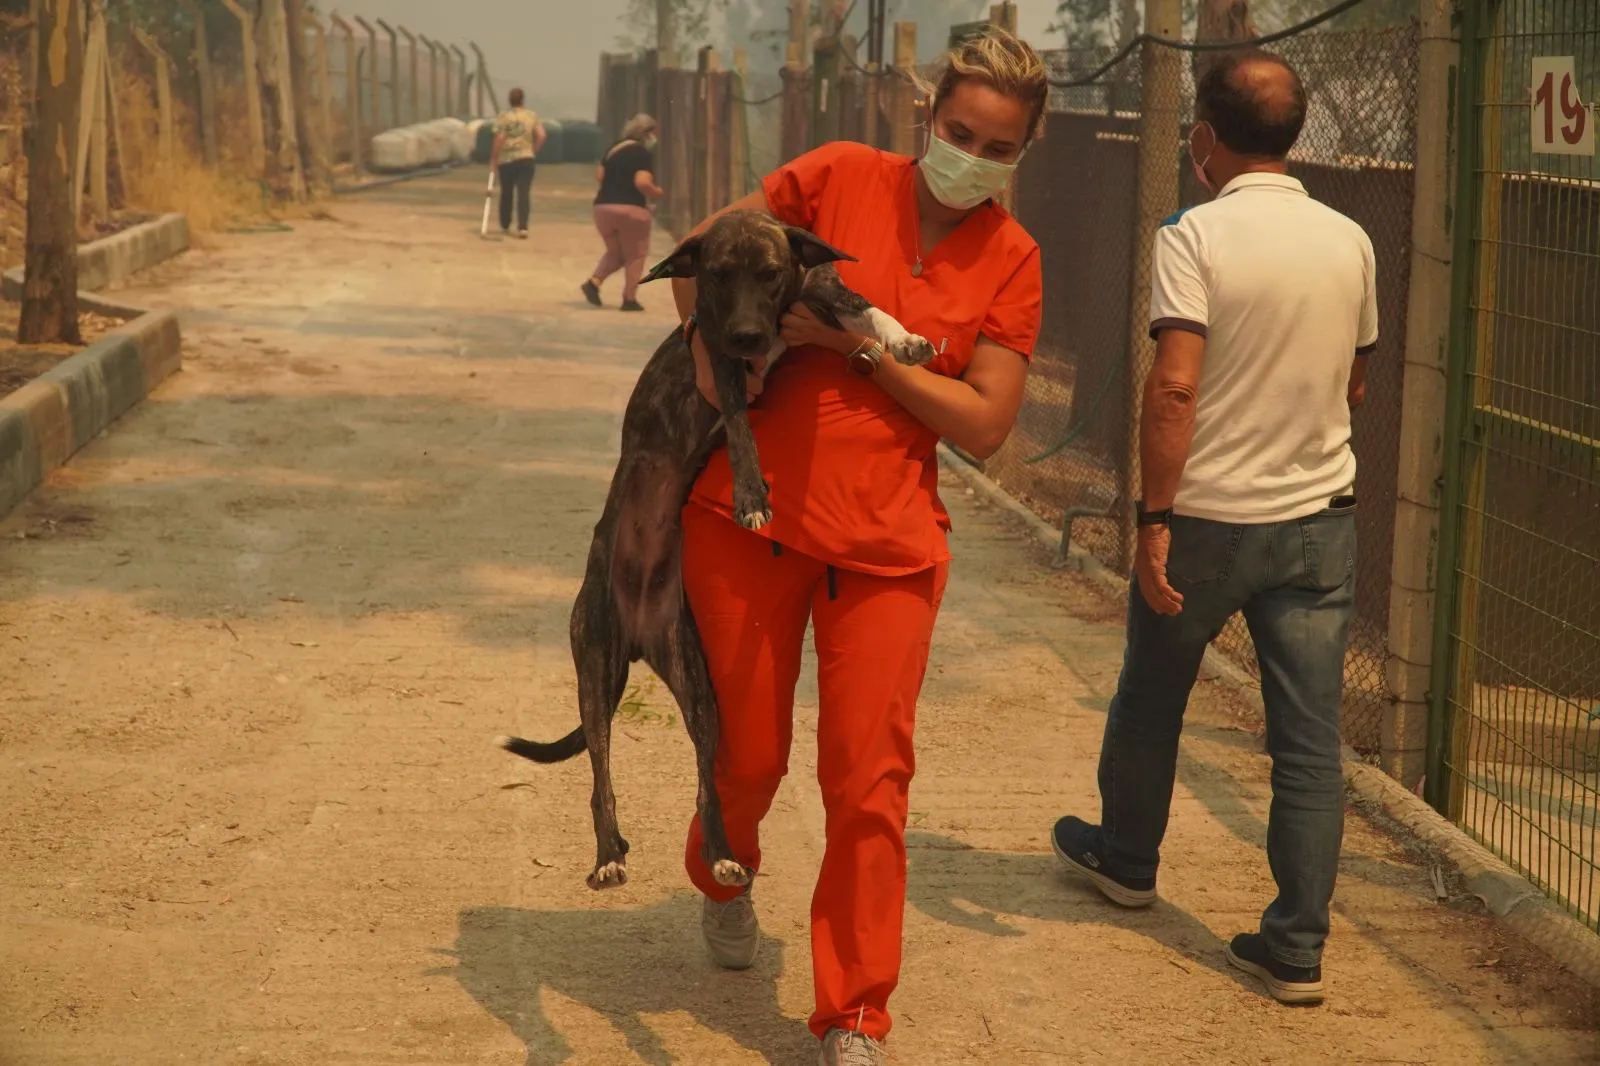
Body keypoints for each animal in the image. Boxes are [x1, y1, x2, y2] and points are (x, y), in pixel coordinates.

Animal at [492, 209, 934, 889]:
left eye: (770, 272)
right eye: (719, 274)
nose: (751, 335)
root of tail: (640, 636)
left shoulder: (819, 293)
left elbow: (866, 307)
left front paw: (904, 340)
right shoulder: (721, 361)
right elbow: (745, 433)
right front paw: (752, 496)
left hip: (700, 690)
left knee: (707, 784)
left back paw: (719, 855)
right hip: (595, 670)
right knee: (600, 776)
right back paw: (607, 855)